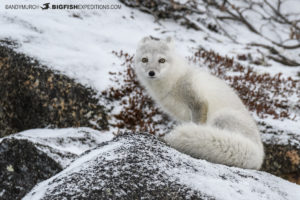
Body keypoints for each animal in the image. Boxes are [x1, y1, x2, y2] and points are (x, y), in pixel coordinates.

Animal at [135, 36, 264, 170]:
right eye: (144, 59)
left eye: (162, 60)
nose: (151, 73)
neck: (174, 80)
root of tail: (258, 155)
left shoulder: (198, 102)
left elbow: (197, 124)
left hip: (222, 117)